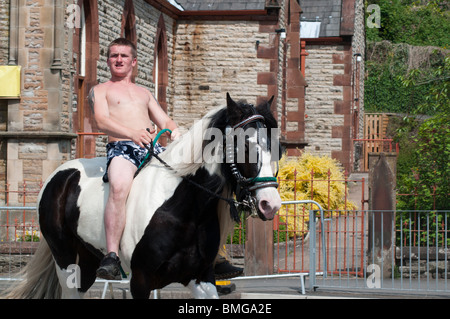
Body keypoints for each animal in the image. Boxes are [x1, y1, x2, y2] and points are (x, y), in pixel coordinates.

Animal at [5, 94, 282, 300]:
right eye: (244, 145)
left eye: (277, 147)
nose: (270, 204)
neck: (183, 209)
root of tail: (61, 174)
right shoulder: (140, 280)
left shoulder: (202, 278)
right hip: (65, 261)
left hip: (87, 260)